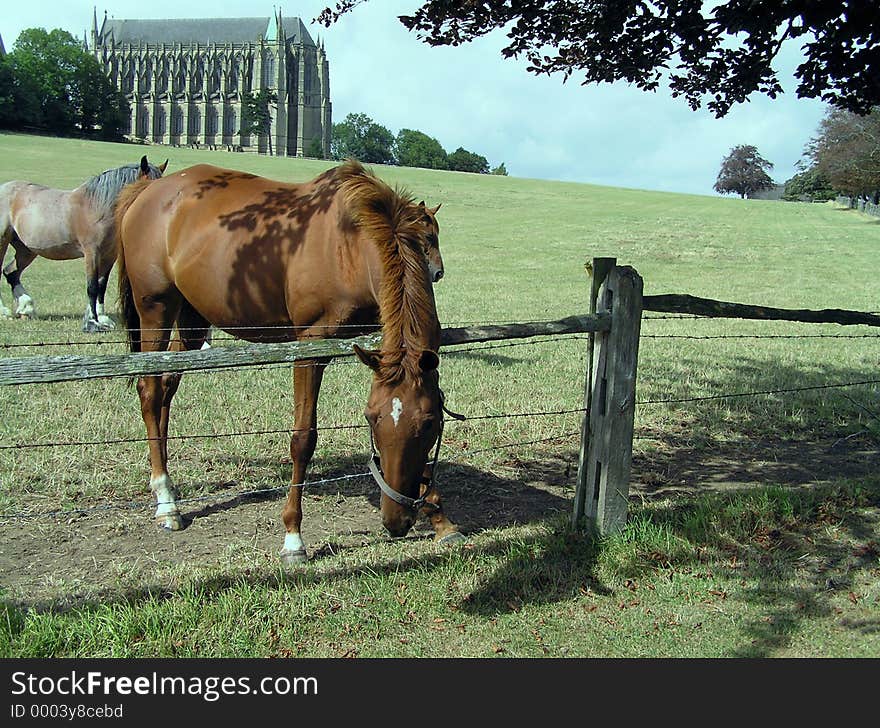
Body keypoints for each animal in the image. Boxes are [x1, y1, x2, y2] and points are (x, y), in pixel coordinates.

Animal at [0, 159, 167, 332]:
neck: (98, 208)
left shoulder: (109, 256)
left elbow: (101, 286)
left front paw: (102, 318)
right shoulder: (92, 253)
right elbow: (92, 287)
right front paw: (92, 322)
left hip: (26, 250)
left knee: (11, 272)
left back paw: (26, 308)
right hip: (3, 241)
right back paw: (5, 312)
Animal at [114, 162, 460, 564]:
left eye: (430, 424)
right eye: (372, 420)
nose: (395, 521)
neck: (350, 246)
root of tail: (149, 191)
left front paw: (441, 519)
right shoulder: (310, 348)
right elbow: (303, 439)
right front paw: (293, 536)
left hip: (192, 319)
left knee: (168, 386)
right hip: (155, 308)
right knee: (151, 390)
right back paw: (166, 500)